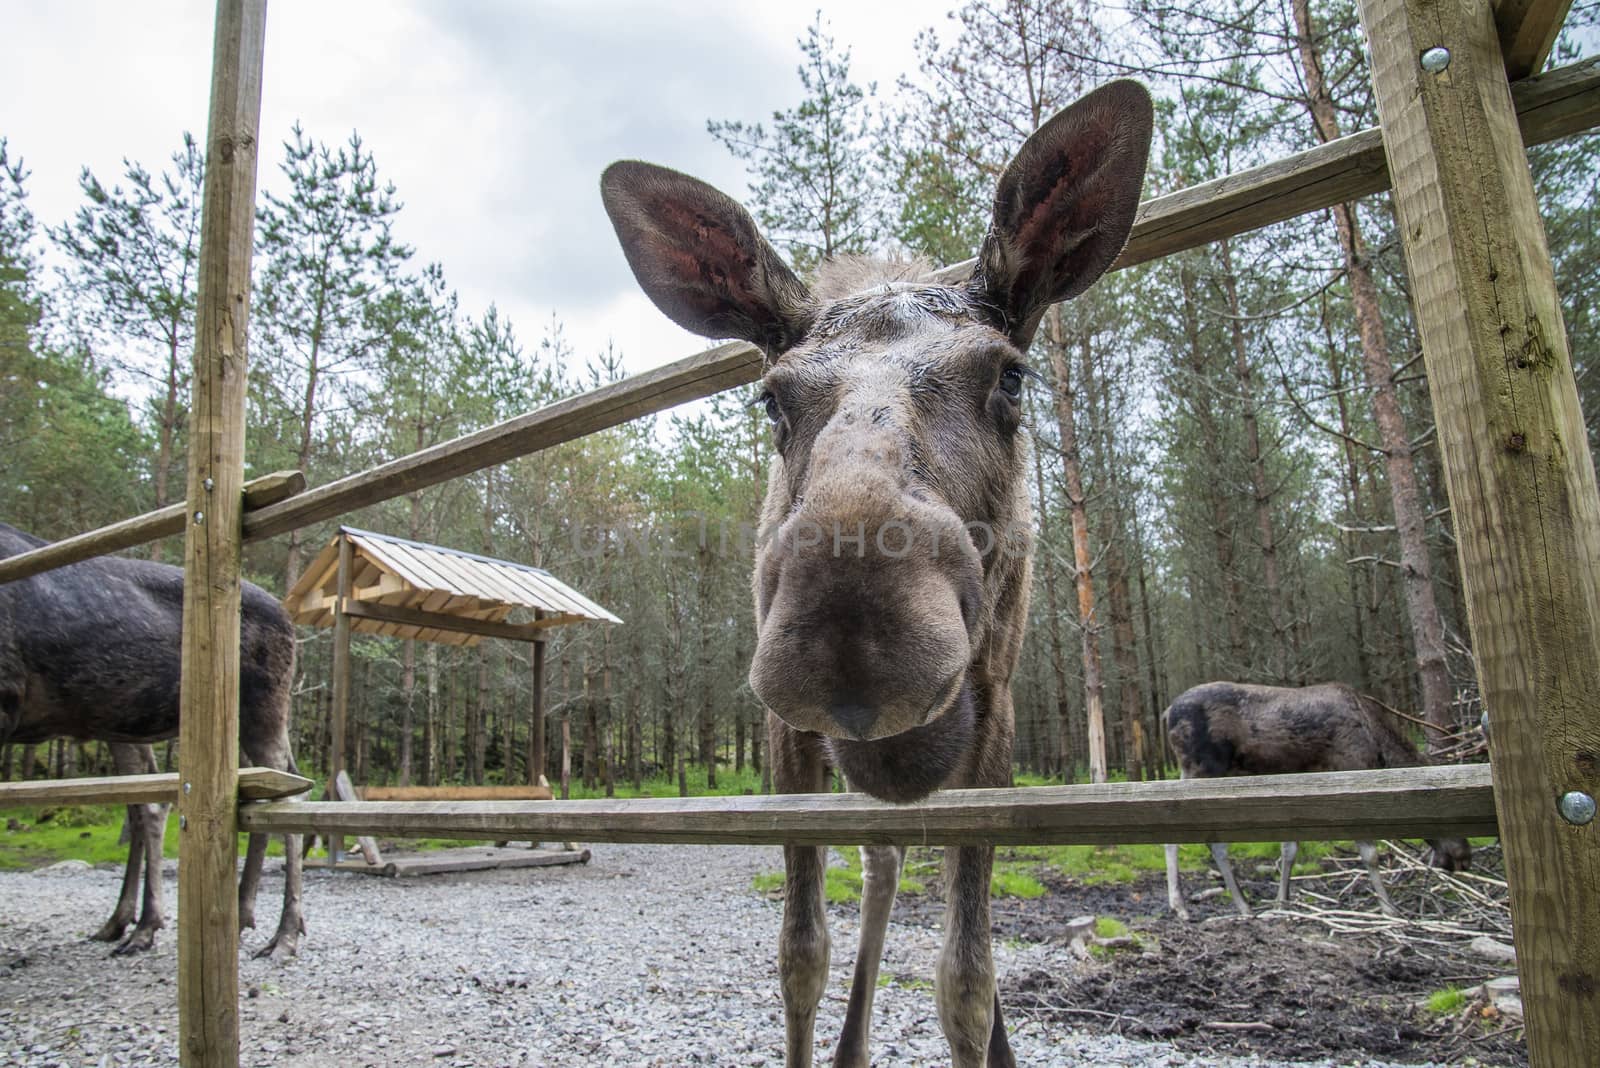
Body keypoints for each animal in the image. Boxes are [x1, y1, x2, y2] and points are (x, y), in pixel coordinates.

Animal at [0, 521, 305, 952]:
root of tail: (289, 615)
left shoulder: (4, 697)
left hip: (263, 706)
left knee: (289, 789)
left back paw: (284, 931)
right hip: (128, 719)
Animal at [601, 77, 1152, 1068]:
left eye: (1011, 378)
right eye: (771, 398)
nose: (853, 637)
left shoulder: (996, 718)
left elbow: (967, 979)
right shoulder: (784, 741)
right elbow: (799, 954)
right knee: (881, 858)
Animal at [1164, 684, 1472, 920]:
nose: (1465, 858)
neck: (1378, 747)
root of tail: (1166, 714)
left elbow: (1289, 850)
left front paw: (1282, 903)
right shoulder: (1350, 772)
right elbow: (1370, 855)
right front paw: (1389, 909)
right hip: (1203, 770)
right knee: (1187, 838)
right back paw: (1192, 906)